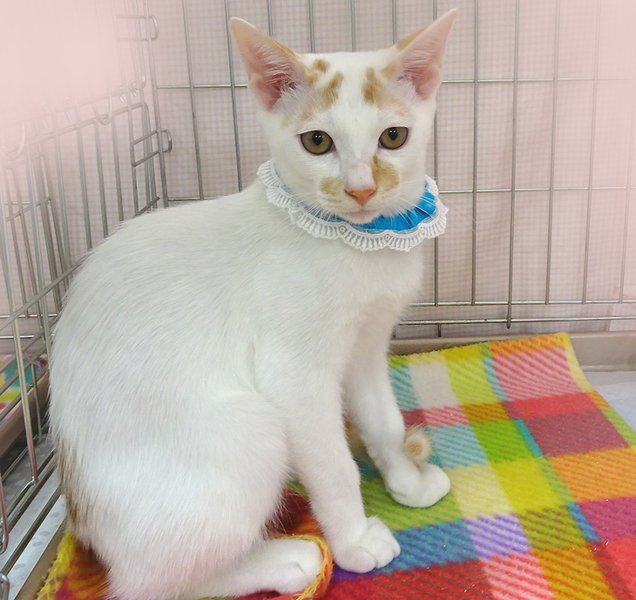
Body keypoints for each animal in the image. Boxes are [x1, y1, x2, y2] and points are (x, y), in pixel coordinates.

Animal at [49, 9, 456, 600]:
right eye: (317, 142)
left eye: (394, 136)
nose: (360, 189)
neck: (360, 246)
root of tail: (83, 520)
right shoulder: (293, 372)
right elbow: (333, 465)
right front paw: (355, 540)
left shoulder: (367, 345)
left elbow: (384, 421)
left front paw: (407, 479)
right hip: (253, 428)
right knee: (148, 585)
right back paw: (290, 560)